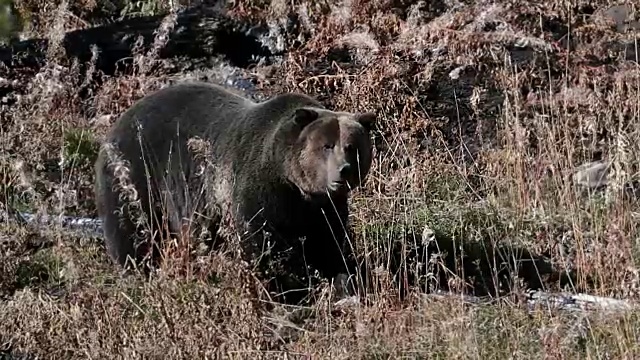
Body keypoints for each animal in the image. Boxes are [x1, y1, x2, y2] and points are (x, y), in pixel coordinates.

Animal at [94, 81, 376, 304]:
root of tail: (120, 119)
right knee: (134, 232)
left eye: (352, 146)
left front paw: (344, 280)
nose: (344, 170)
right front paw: (284, 288)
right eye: (327, 146)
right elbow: (262, 247)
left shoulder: (324, 209)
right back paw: (138, 273)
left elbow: (330, 246)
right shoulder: (256, 192)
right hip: (137, 173)